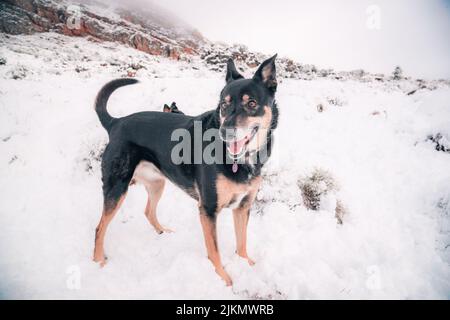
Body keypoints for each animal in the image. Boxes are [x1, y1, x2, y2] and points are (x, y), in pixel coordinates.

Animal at [92, 54, 278, 284]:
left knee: (148, 211)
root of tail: (115, 123)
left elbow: (241, 242)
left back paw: (163, 232)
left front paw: (246, 264)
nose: (225, 132)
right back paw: (98, 261)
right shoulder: (208, 209)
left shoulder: (243, 207)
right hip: (117, 189)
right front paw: (223, 279)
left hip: (157, 183)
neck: (240, 158)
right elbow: (214, 251)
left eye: (251, 103)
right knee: (100, 227)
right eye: (224, 105)